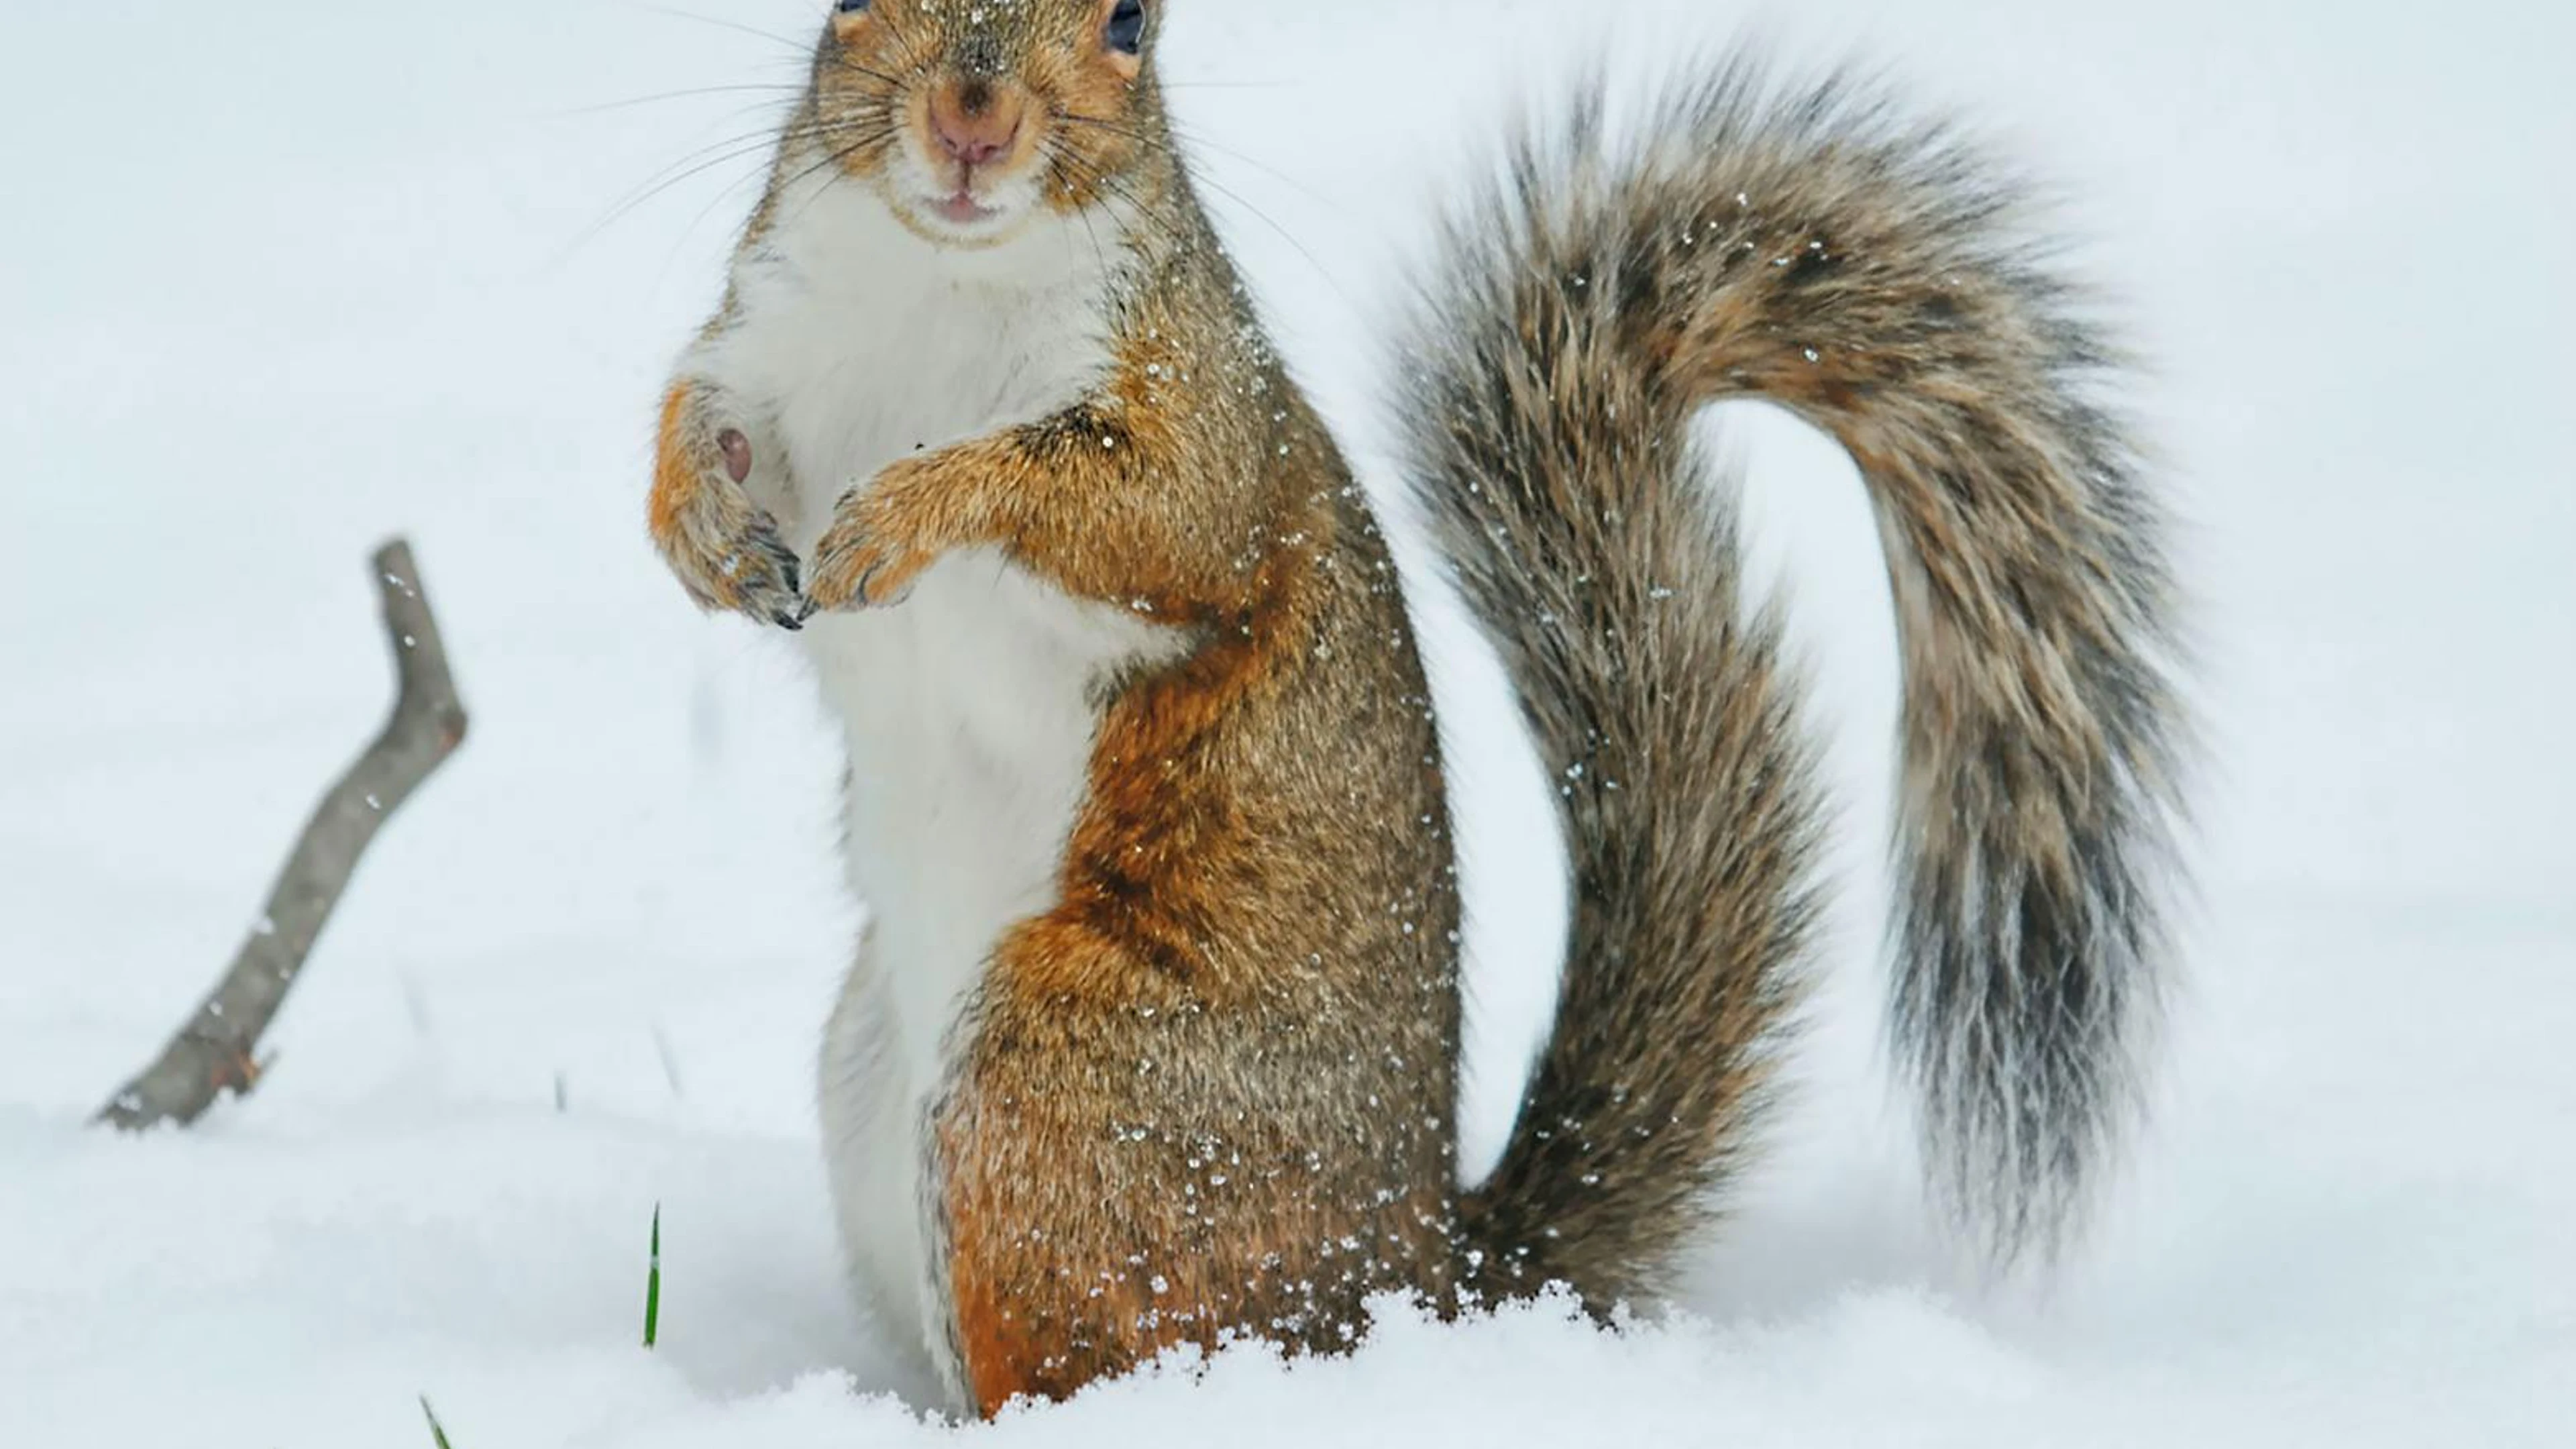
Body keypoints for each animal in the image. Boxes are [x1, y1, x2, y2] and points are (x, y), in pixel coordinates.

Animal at [646, 0, 2187, 1418]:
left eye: (1132, 23)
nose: (972, 123)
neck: (935, 278)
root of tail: (1416, 1287)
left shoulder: (1202, 427)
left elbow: (1139, 515)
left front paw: (907, 513)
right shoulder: (771, 338)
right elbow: (694, 420)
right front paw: (700, 533)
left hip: (1071, 1092)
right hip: (875, 1076)